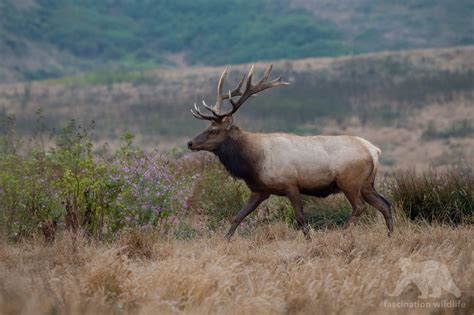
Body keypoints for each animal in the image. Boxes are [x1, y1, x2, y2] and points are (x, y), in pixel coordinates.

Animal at [187, 65, 394, 241]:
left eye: (214, 130)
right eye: (207, 127)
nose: (190, 143)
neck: (254, 162)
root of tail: (374, 150)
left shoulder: (291, 184)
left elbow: (301, 218)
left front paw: (310, 241)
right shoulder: (260, 190)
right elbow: (238, 216)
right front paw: (224, 241)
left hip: (349, 181)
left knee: (360, 206)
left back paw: (342, 233)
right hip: (367, 183)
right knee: (385, 204)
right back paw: (390, 236)